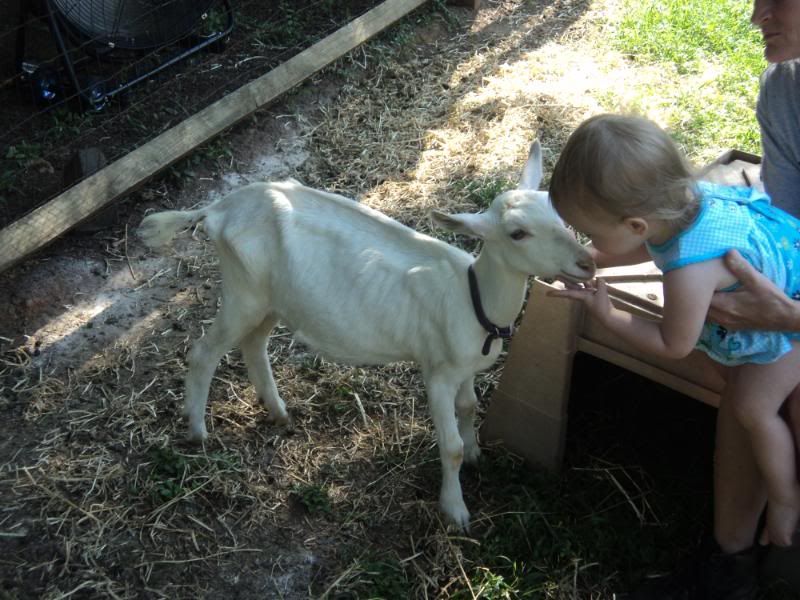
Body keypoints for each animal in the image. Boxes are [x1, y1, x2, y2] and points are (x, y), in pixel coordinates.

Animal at [138, 141, 595, 529]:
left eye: (557, 212)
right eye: (518, 233)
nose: (587, 262)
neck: (473, 298)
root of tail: (219, 207)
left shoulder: (465, 368)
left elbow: (469, 407)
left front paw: (477, 455)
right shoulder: (437, 372)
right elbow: (449, 446)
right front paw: (456, 511)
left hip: (273, 299)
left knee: (254, 344)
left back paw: (278, 411)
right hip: (242, 290)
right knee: (204, 351)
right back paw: (197, 431)